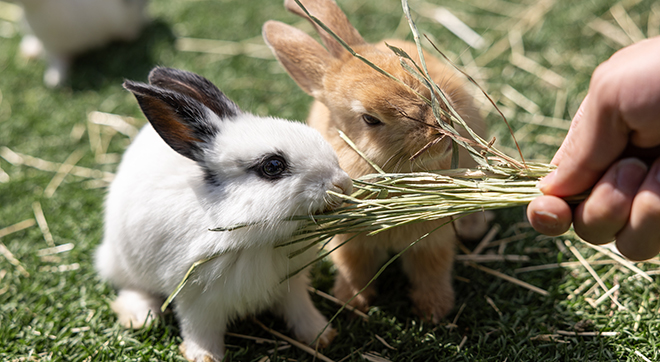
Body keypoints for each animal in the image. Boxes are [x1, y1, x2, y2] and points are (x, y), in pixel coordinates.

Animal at [96, 66, 354, 360]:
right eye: (273, 166)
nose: (342, 183)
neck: (259, 241)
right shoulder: (196, 298)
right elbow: (199, 330)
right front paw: (203, 356)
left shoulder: (291, 285)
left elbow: (301, 310)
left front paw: (321, 336)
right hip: (124, 260)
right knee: (131, 286)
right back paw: (139, 318)